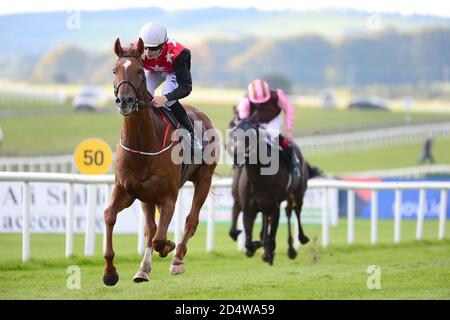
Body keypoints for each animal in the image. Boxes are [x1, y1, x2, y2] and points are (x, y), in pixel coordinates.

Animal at [104, 38, 220, 286]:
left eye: (139, 71)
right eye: (115, 70)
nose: (125, 101)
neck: (144, 144)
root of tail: (203, 115)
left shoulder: (168, 197)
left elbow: (160, 237)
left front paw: (168, 246)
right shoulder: (127, 191)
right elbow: (111, 216)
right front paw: (110, 272)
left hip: (204, 179)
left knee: (191, 221)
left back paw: (177, 259)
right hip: (147, 197)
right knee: (151, 228)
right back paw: (143, 269)